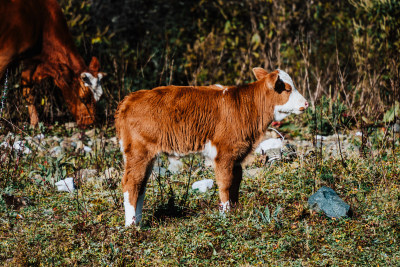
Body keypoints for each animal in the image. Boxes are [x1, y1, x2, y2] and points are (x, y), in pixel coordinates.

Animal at [115, 68, 310, 227]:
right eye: (287, 89)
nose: (307, 103)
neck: (248, 107)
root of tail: (130, 98)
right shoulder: (224, 152)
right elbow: (225, 183)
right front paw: (226, 215)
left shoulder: (237, 155)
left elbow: (236, 182)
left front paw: (235, 210)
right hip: (138, 151)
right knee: (131, 183)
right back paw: (131, 226)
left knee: (141, 185)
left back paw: (138, 222)